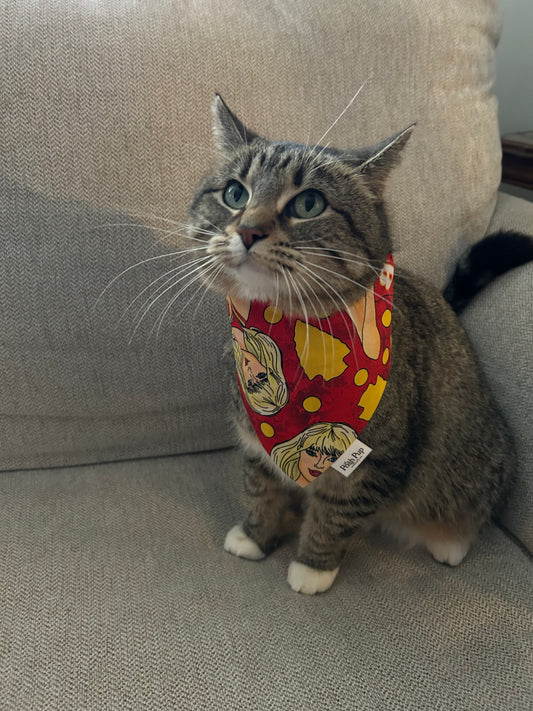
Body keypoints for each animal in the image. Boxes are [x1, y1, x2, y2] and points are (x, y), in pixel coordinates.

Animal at [185, 94, 520, 596]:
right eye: (234, 194)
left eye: (308, 203)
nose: (248, 230)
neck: (290, 335)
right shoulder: (256, 445)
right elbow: (261, 489)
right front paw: (256, 536)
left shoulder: (372, 465)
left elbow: (334, 516)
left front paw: (313, 566)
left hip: (474, 465)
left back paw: (450, 541)